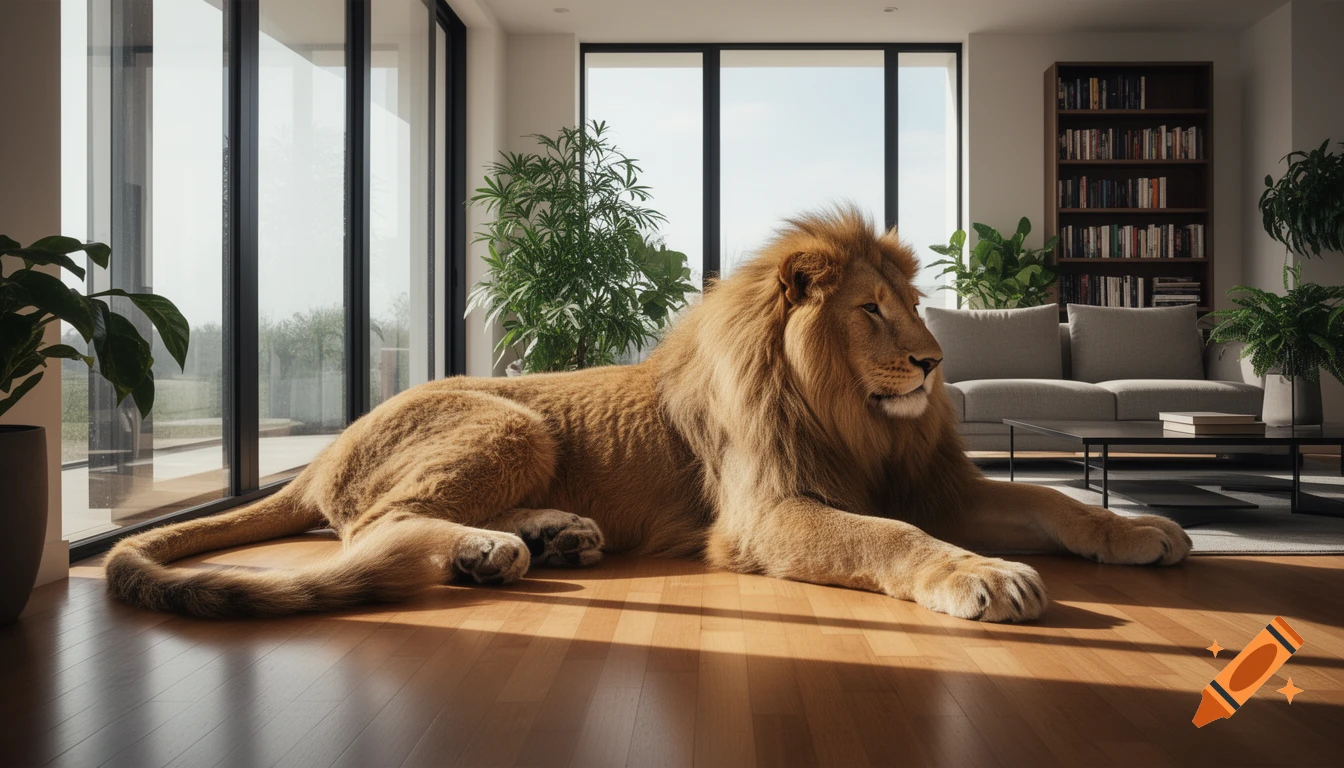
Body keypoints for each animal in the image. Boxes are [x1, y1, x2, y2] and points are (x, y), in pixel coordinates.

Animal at [106, 208, 1190, 622]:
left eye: (914, 306)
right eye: (870, 310)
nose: (933, 361)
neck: (856, 412)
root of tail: (320, 459)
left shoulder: (937, 486)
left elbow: (1056, 505)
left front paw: (1146, 531)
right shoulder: (767, 513)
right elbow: (891, 538)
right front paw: (984, 577)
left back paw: (549, 536)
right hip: (509, 422)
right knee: (377, 525)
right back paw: (495, 551)